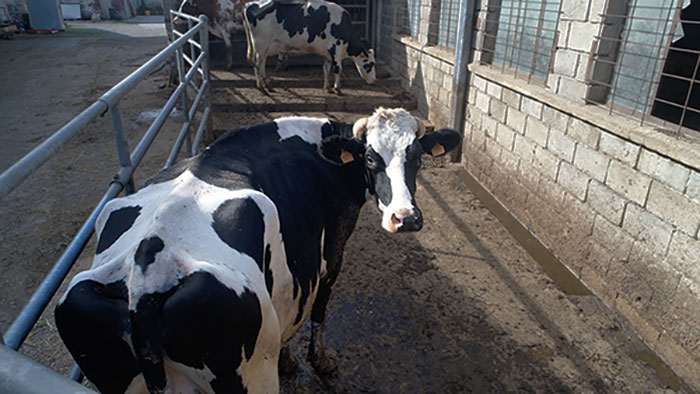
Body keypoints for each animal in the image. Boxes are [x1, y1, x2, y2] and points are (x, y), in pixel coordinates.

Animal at [54, 107, 460, 394]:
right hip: (251, 374)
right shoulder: (331, 256)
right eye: (371, 158)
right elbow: (318, 312)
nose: (405, 218)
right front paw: (317, 361)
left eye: (417, 158)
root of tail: (147, 272)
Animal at [246, 0, 378, 94]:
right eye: (370, 64)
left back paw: (267, 86)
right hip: (260, 44)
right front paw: (337, 89)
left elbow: (326, 69)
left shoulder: (327, 54)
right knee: (258, 64)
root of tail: (250, 4)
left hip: (265, 48)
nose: (374, 80)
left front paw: (327, 87)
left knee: (261, 64)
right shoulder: (336, 49)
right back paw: (261, 87)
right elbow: (338, 69)